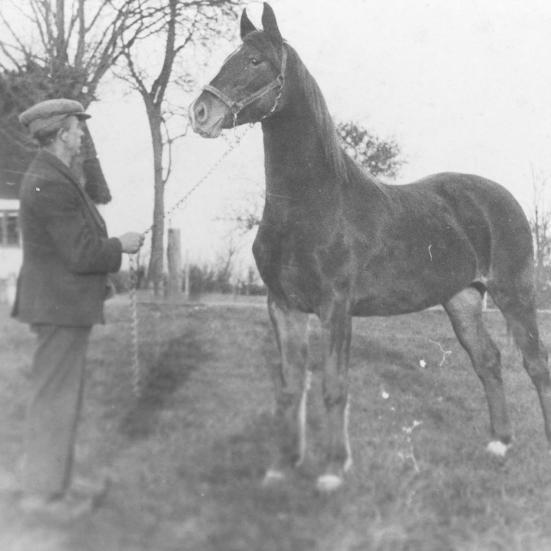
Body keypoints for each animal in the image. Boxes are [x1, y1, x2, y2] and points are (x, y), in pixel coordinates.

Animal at [190, 2, 551, 494]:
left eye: (254, 61)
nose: (200, 112)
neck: (314, 202)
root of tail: (503, 197)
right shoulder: (282, 306)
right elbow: (290, 389)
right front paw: (281, 467)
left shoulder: (335, 307)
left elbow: (334, 386)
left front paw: (330, 470)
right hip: (462, 300)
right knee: (489, 361)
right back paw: (499, 442)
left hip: (515, 294)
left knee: (536, 366)